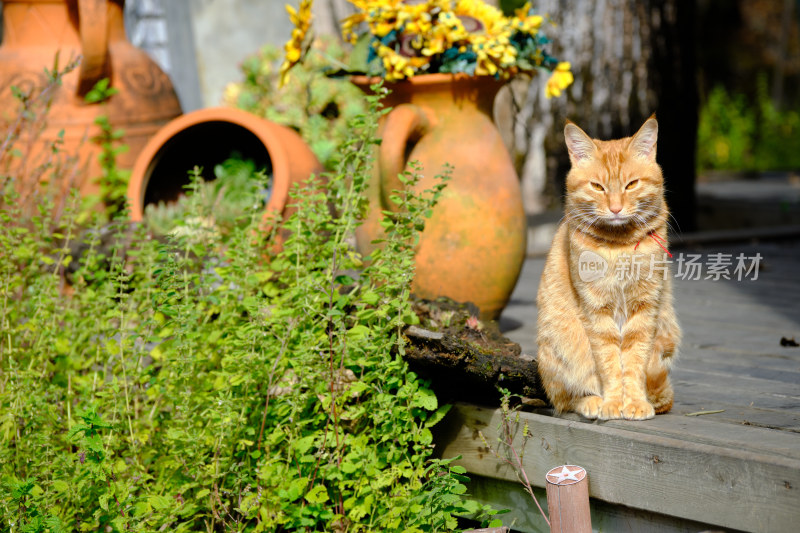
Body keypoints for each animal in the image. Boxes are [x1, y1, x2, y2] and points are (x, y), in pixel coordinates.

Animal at [536, 117, 680, 420]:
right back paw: (592, 403)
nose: (615, 209)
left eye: (631, 184)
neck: (619, 247)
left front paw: (635, 402)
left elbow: (635, 363)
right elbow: (610, 364)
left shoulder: (645, 309)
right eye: (598, 187)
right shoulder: (596, 312)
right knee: (566, 400)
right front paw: (613, 403)